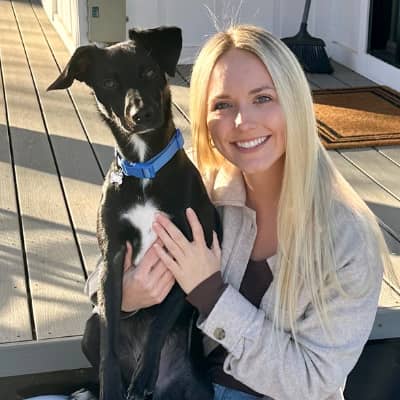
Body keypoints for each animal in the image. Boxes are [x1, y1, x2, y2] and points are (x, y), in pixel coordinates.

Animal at [47, 27, 221, 400]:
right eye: (110, 82)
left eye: (150, 72)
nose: (142, 115)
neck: (144, 169)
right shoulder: (112, 259)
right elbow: (110, 331)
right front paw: (111, 384)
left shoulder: (188, 253)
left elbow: (160, 321)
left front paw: (143, 377)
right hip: (88, 329)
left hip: (199, 387)